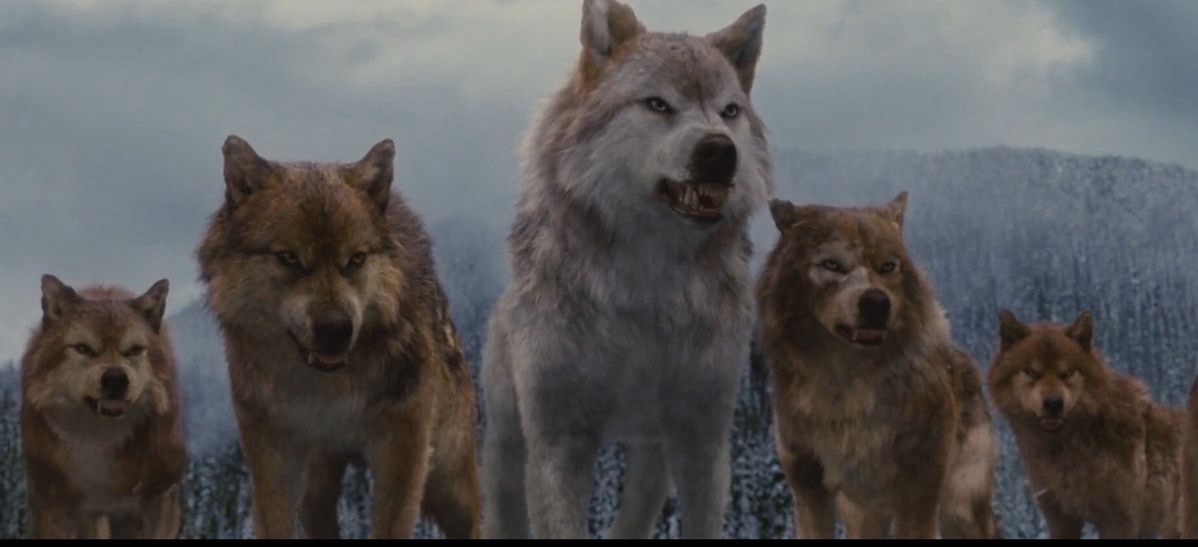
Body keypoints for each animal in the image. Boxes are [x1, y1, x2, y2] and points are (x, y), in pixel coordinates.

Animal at [20, 275, 186, 539]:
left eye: (134, 350)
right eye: (83, 349)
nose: (116, 378)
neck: (99, 441)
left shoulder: (157, 500)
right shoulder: (62, 509)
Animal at [195, 136, 481, 539]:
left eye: (355, 259)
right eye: (289, 258)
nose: (336, 329)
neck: (329, 391)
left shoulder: (404, 451)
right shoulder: (272, 452)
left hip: (450, 482)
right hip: (316, 488)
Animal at [480, 0, 770, 539]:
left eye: (729, 111)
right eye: (658, 104)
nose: (721, 151)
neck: (646, 291)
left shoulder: (702, 437)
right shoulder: (559, 440)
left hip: (651, 455)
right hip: (508, 443)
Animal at [757, 194, 999, 539]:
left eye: (887, 267)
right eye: (832, 265)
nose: (876, 303)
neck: (848, 387)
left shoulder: (920, 487)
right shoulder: (808, 487)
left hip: (960, 508)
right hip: (865, 511)